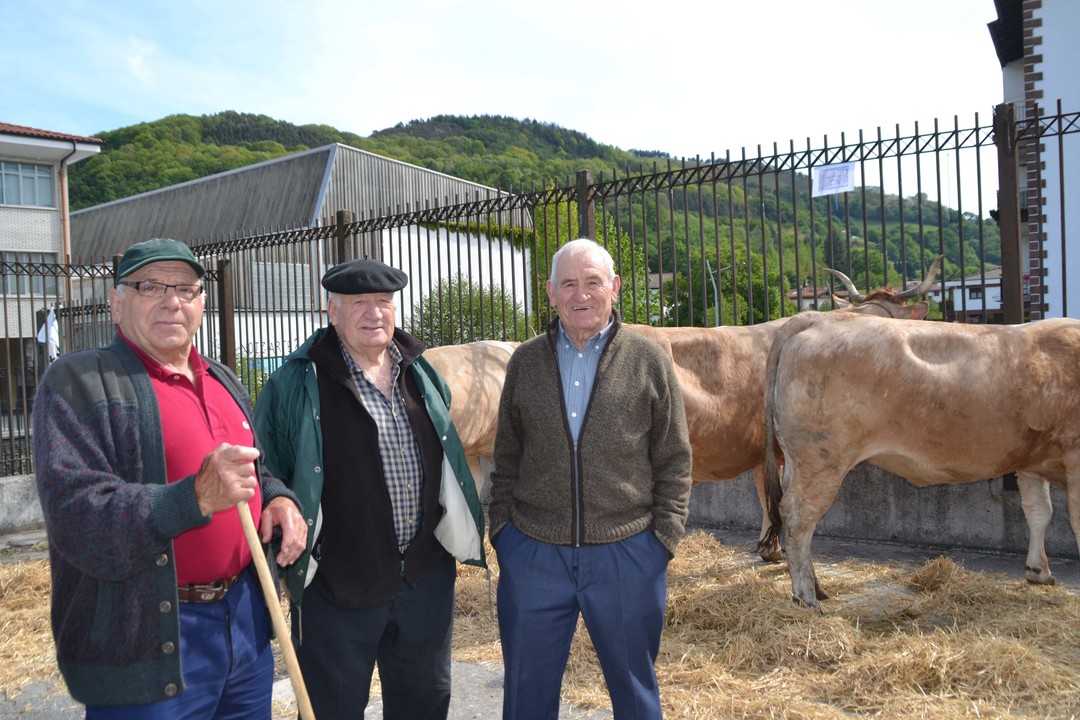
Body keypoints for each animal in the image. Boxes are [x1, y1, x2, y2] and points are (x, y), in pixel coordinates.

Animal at [761, 311, 1080, 609]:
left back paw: (817, 588)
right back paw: (806, 597)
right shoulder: (1074, 454)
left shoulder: (1030, 462)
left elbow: (1039, 512)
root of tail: (818, 317)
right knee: (797, 516)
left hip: (797, 460)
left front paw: (1038, 571)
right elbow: (1074, 519)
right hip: (823, 459)